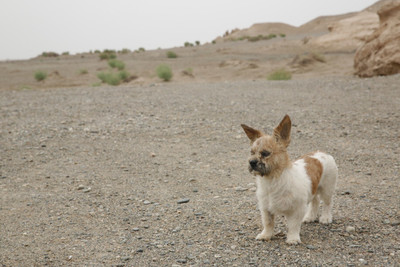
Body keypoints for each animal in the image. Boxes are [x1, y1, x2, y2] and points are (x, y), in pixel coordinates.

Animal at [241, 115, 338, 245]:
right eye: (252, 152)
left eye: (265, 153)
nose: (251, 162)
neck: (273, 179)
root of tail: (322, 153)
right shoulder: (266, 208)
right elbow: (268, 223)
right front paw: (266, 235)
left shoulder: (297, 210)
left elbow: (293, 225)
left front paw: (292, 239)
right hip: (314, 188)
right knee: (315, 201)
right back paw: (310, 217)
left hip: (327, 189)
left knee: (327, 203)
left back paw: (326, 218)